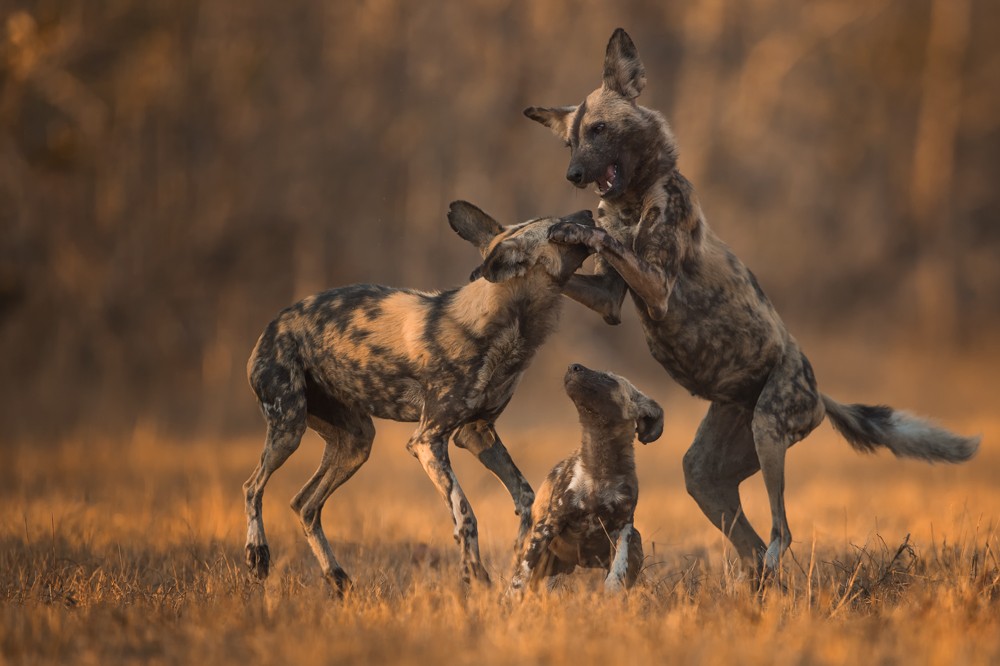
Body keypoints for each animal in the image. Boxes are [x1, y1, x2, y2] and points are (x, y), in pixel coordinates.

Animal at [242, 201, 592, 592]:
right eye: (559, 227)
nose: (590, 213)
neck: (505, 329)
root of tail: (274, 323)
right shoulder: (427, 441)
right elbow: (465, 513)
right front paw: (475, 577)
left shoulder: (477, 433)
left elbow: (526, 497)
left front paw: (521, 559)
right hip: (289, 429)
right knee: (252, 486)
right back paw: (257, 555)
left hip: (356, 444)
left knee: (304, 504)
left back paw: (338, 579)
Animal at [508, 360, 664, 592]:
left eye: (608, 378)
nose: (574, 366)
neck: (600, 468)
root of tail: (575, 563)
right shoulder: (548, 526)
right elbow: (521, 576)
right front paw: (510, 597)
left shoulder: (624, 527)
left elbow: (618, 568)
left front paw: (611, 591)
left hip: (632, 542)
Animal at [528, 28, 980, 572]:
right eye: (570, 142)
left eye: (598, 129)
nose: (573, 175)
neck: (632, 202)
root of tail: (818, 391)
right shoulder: (610, 302)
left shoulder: (656, 288)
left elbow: (602, 235)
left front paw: (571, 228)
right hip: (706, 473)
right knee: (752, 546)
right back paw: (759, 585)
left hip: (767, 429)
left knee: (781, 530)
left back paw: (772, 565)